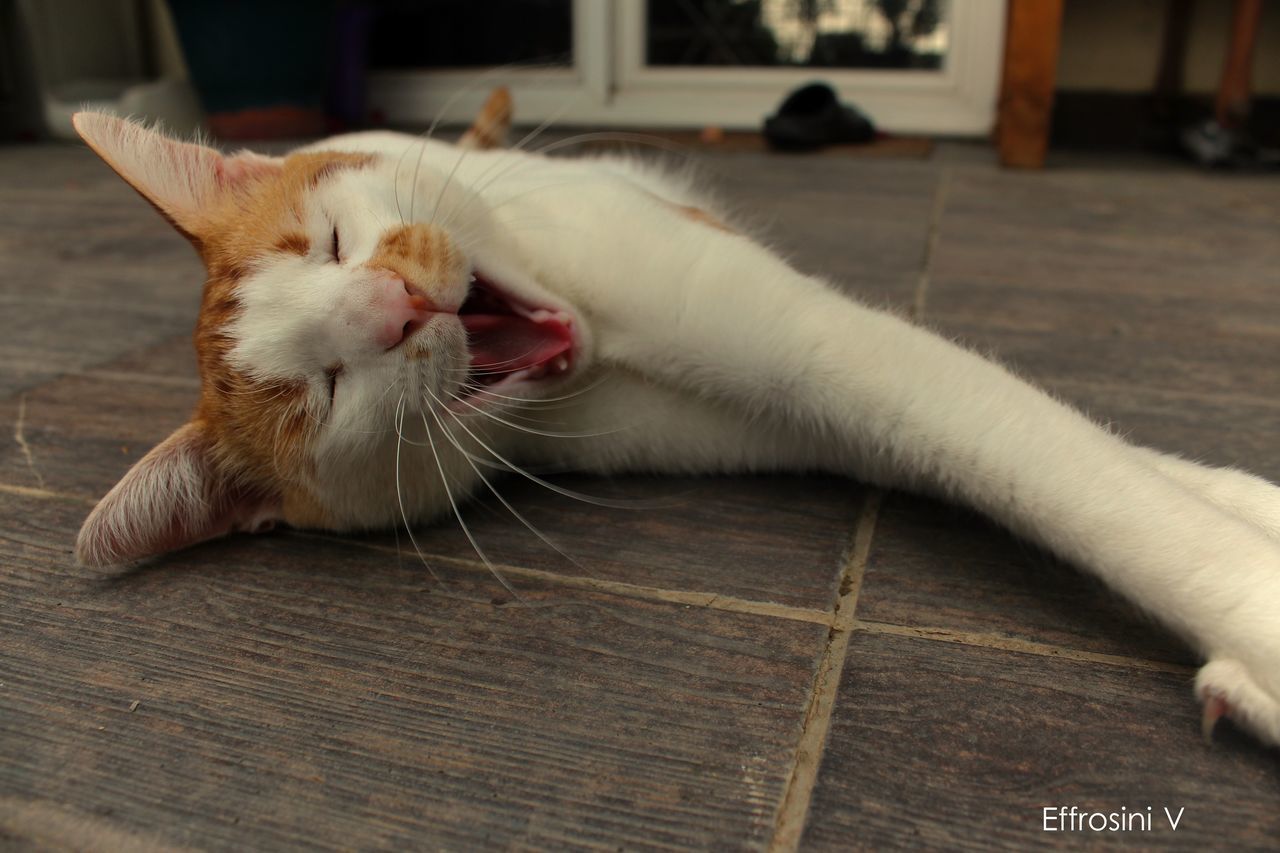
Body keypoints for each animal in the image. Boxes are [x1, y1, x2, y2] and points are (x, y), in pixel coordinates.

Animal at [67, 89, 1280, 747]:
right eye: (325, 389)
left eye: (323, 244)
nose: (394, 306)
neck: (596, 351)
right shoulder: (798, 412)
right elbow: (1016, 456)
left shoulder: (807, 335)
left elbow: (1076, 474)